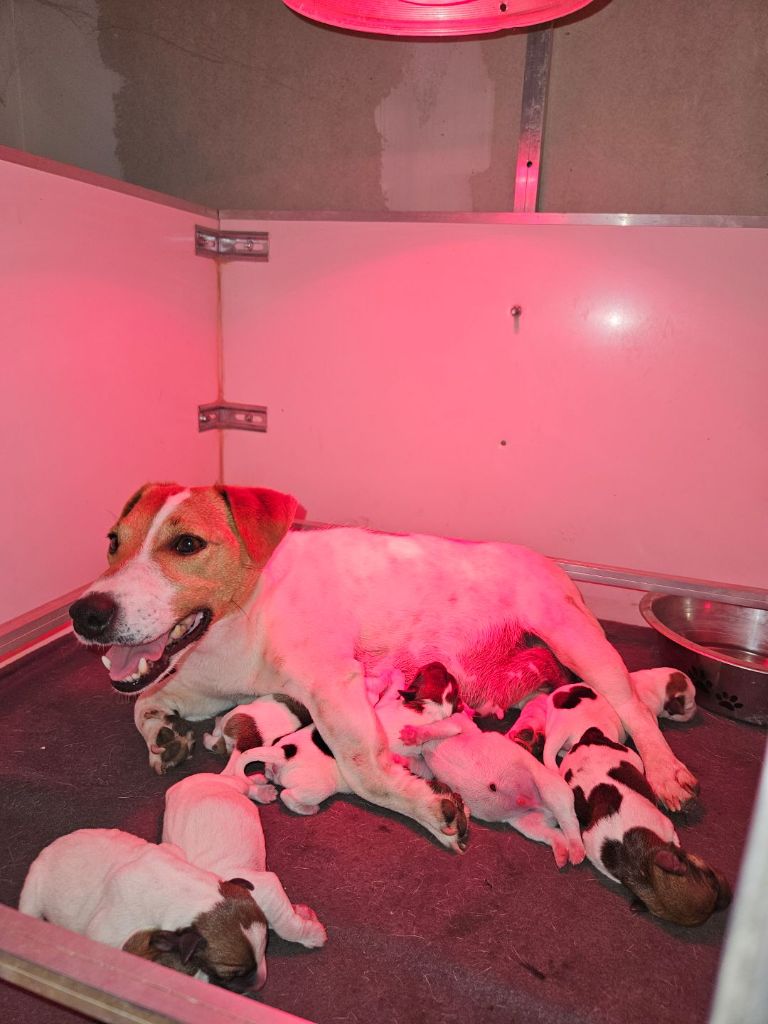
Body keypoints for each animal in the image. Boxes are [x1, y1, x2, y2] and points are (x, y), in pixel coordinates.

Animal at [19, 827, 276, 987]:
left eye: (265, 948)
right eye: (229, 974)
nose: (259, 983)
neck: (193, 893)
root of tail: (51, 847)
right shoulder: (108, 933)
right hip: (33, 892)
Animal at [69, 483, 700, 851]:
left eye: (187, 544)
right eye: (112, 540)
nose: (85, 613)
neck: (246, 612)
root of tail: (550, 562)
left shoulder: (333, 689)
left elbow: (364, 771)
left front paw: (425, 805)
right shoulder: (205, 683)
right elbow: (146, 702)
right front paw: (165, 736)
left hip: (576, 637)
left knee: (630, 706)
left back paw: (666, 771)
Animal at [162, 770, 327, 987]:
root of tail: (181, 783)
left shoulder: (266, 887)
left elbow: (285, 926)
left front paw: (312, 934)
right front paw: (301, 912)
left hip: (226, 783)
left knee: (241, 781)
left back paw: (260, 784)